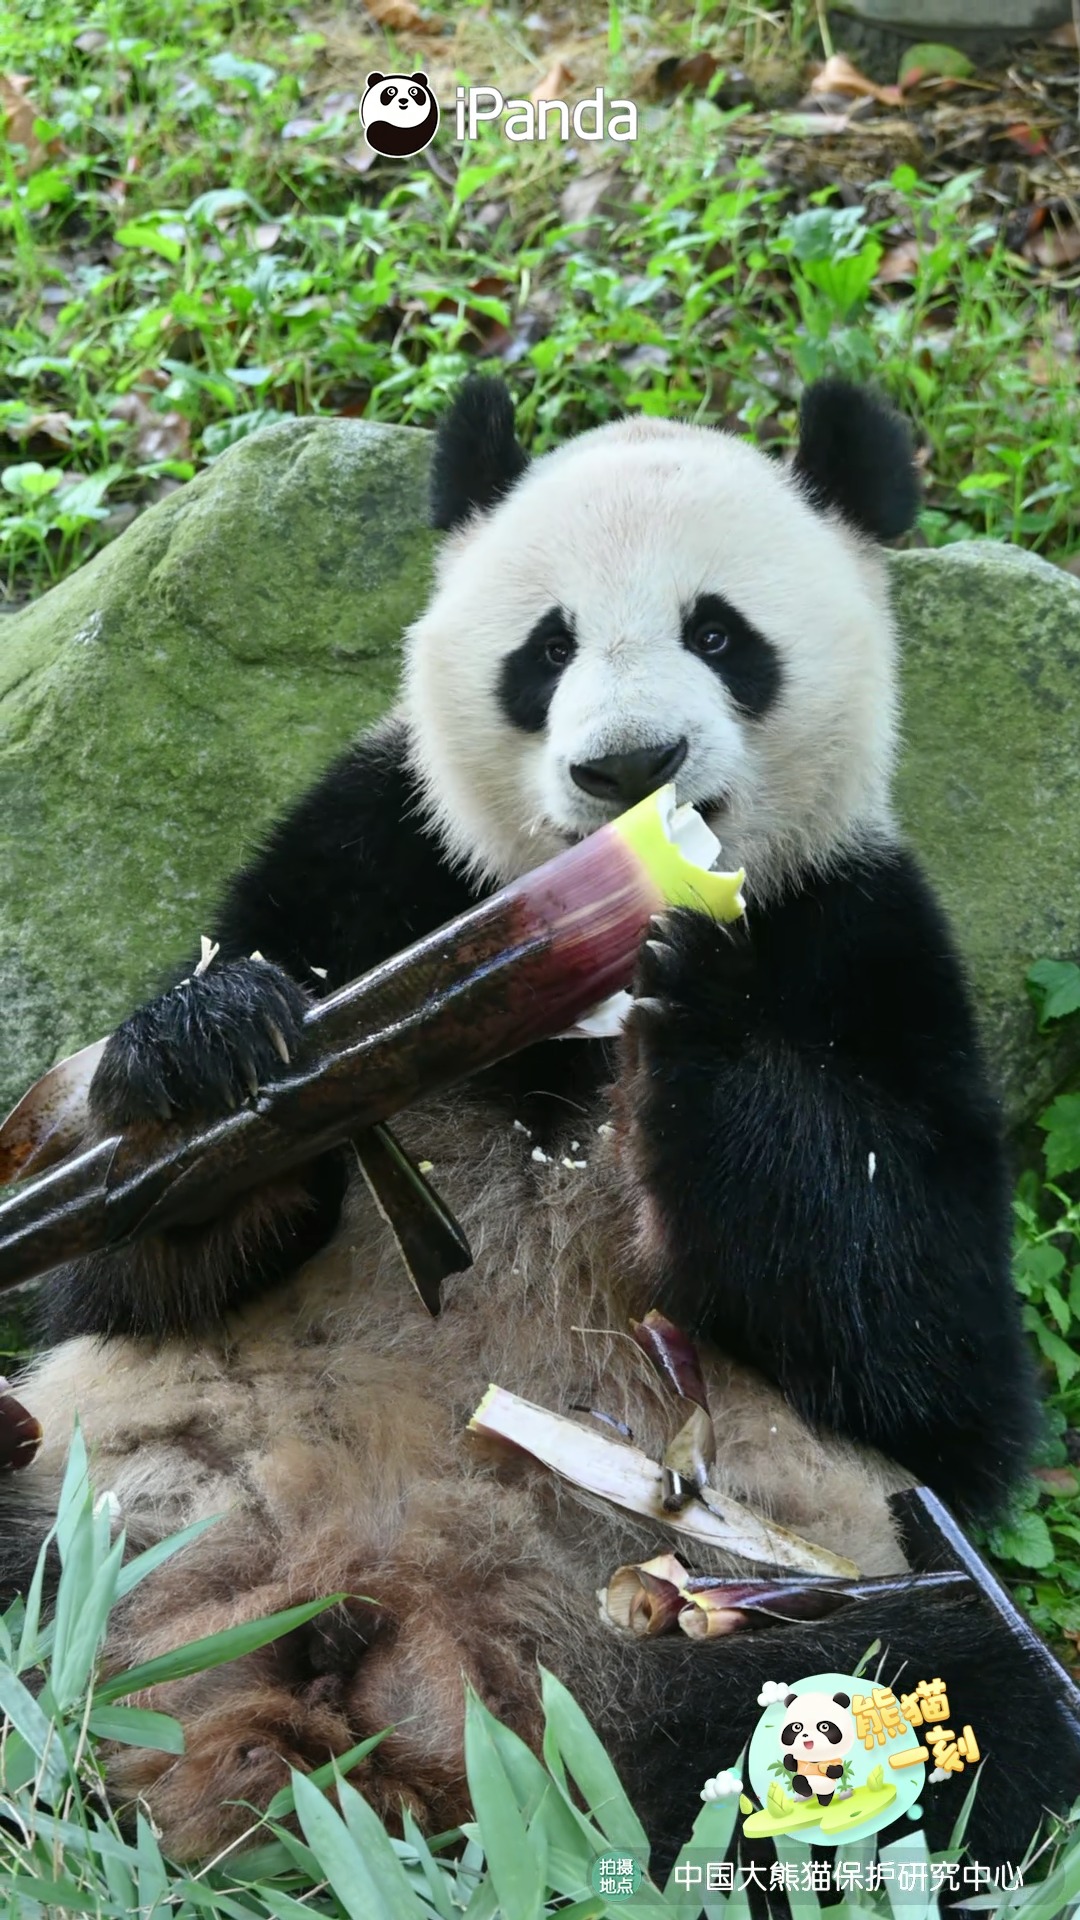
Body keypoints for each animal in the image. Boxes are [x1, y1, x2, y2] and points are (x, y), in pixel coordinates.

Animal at [1, 374, 1076, 1887]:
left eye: (720, 634)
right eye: (546, 647)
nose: (631, 766)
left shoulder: (867, 941)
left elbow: (921, 1355)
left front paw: (702, 998)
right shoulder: (374, 855)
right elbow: (119, 1272)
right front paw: (208, 1057)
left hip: (735, 1620)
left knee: (947, 1711)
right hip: (98, 1502)